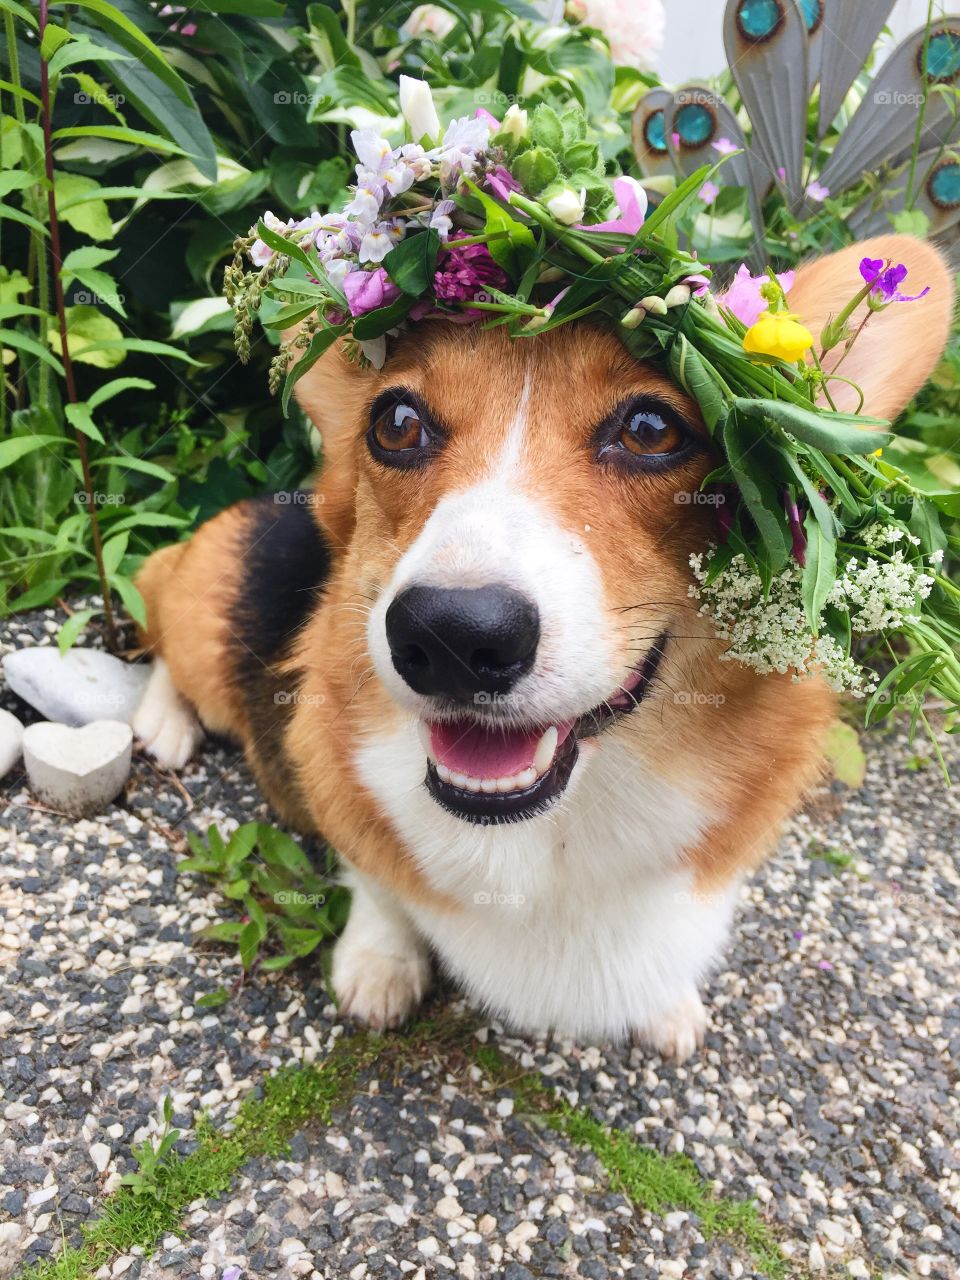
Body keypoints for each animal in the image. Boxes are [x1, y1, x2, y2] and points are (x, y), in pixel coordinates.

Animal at [133, 238, 957, 1059]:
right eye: (395, 423)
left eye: (652, 430)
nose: (451, 635)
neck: (546, 840)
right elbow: (378, 885)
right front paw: (379, 961)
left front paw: (668, 1006)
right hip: (201, 617)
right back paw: (164, 724)